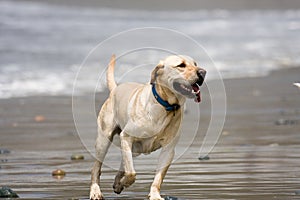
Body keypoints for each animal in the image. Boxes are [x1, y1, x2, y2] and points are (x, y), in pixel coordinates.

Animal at [89, 54, 206, 200]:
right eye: (181, 65)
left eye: (195, 64)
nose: (203, 72)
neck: (165, 105)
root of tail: (115, 88)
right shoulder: (126, 136)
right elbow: (131, 173)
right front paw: (124, 182)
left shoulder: (168, 150)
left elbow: (158, 178)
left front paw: (154, 194)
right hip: (104, 140)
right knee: (97, 168)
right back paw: (96, 191)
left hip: (136, 149)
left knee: (124, 161)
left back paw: (117, 182)